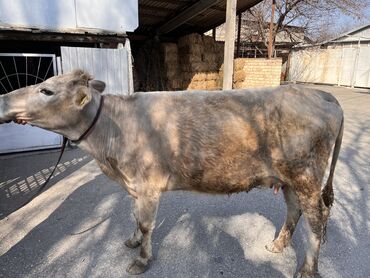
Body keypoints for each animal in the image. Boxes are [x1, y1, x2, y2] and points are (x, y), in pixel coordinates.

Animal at [0, 70, 344, 276]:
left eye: (46, 91)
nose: (2, 99)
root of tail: (319, 94)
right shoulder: (135, 185)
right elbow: (134, 216)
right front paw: (132, 241)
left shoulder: (147, 184)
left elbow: (146, 223)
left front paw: (141, 260)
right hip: (288, 179)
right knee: (294, 210)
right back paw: (278, 244)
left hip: (306, 177)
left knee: (317, 218)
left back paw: (307, 269)